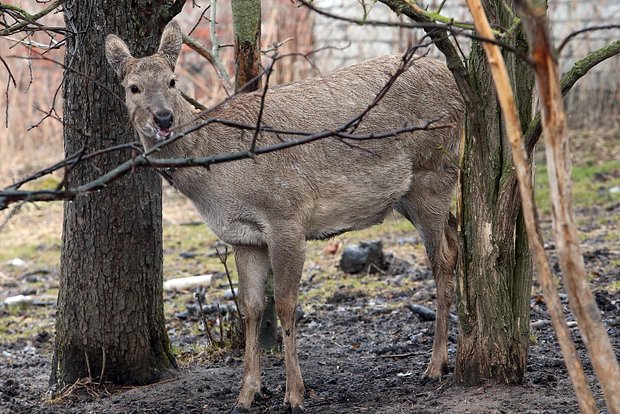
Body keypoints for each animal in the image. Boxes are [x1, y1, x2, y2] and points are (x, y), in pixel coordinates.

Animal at [106, 21, 462, 414]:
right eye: (133, 87)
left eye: (172, 81)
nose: (164, 118)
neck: (215, 178)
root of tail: (455, 81)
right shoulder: (244, 238)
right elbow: (250, 307)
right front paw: (246, 395)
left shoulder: (285, 217)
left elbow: (288, 305)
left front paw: (294, 395)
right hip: (410, 195)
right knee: (456, 235)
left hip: (434, 173)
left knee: (442, 258)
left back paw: (434, 366)